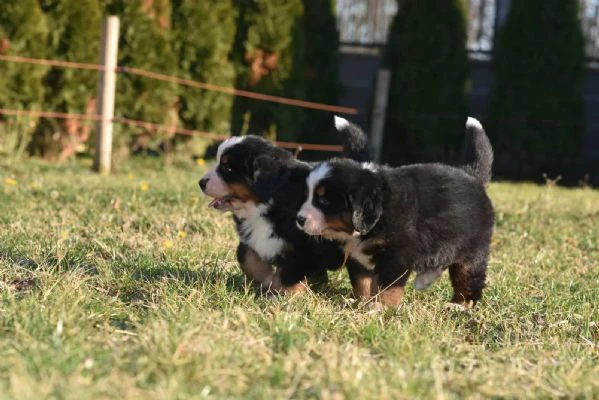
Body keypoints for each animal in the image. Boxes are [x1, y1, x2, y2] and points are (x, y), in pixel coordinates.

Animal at [199, 117, 368, 292]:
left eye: (228, 169)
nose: (201, 183)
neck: (267, 201)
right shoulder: (251, 237)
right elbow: (246, 257)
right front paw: (265, 281)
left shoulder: (304, 247)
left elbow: (289, 275)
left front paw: (281, 293)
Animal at [298, 117, 494, 304]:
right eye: (306, 195)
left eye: (324, 201)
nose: (299, 219)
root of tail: (472, 175)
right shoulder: (357, 257)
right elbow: (363, 282)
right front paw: (362, 302)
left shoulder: (396, 255)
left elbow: (388, 287)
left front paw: (381, 307)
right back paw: (425, 280)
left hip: (472, 251)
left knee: (468, 278)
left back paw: (460, 305)